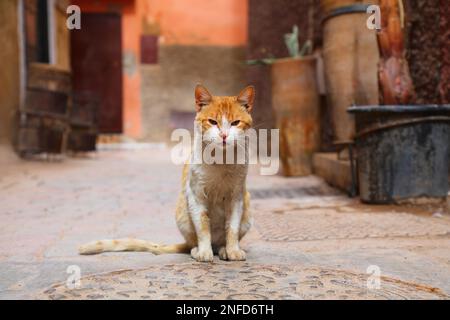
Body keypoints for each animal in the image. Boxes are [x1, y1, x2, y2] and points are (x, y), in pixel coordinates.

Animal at [79, 85, 255, 262]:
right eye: (212, 121)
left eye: (235, 123)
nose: (224, 135)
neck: (221, 159)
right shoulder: (195, 194)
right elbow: (203, 226)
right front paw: (204, 251)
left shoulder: (236, 196)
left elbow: (232, 227)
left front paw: (233, 250)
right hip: (182, 211)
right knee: (193, 242)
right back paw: (197, 249)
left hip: (246, 209)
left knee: (220, 242)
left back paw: (223, 249)